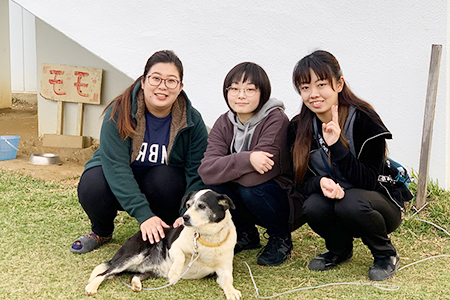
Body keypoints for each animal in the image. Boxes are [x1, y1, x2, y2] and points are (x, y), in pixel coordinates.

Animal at [83, 190, 241, 300]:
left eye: (202, 206)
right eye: (188, 205)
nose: (185, 217)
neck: (206, 238)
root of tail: (137, 234)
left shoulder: (224, 270)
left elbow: (228, 281)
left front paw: (232, 292)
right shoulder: (173, 248)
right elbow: (180, 256)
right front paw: (175, 273)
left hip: (151, 271)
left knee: (133, 275)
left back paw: (136, 284)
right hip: (130, 258)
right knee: (104, 273)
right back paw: (91, 287)